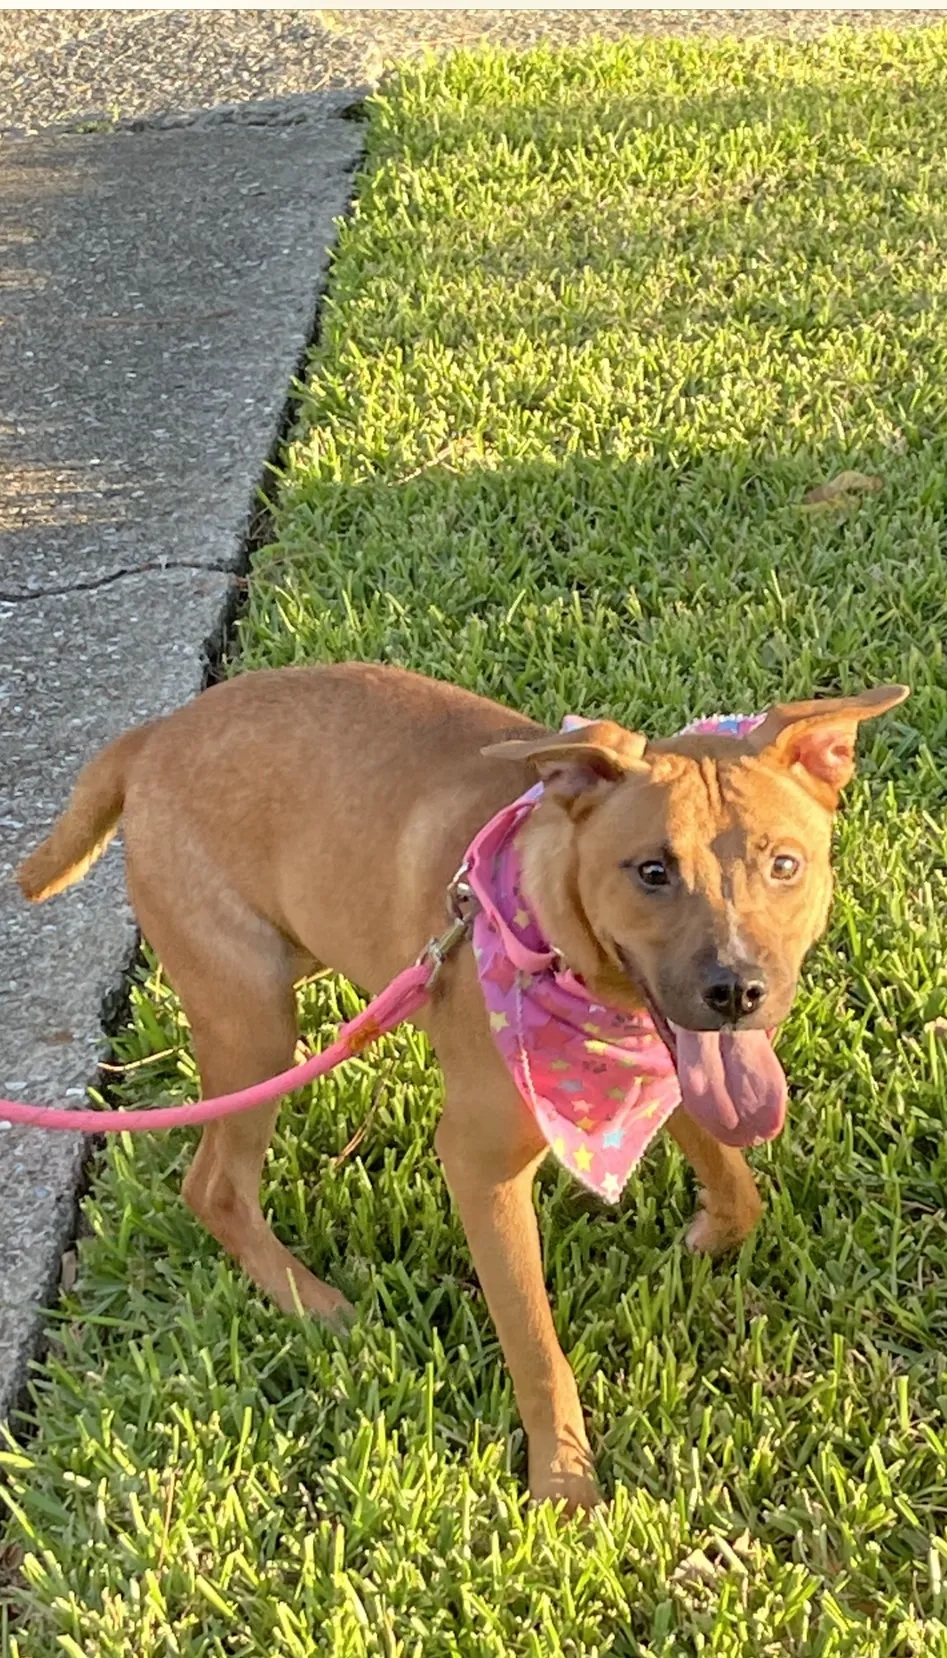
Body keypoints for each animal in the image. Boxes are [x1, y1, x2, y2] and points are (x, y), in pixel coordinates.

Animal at [18, 666, 908, 1512]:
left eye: (783, 864)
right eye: (652, 871)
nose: (736, 990)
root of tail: (155, 734)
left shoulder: (673, 1056)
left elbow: (733, 1176)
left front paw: (708, 1233)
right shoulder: (480, 1167)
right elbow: (537, 1348)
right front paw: (563, 1488)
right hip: (252, 1021)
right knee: (215, 1186)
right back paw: (314, 1304)